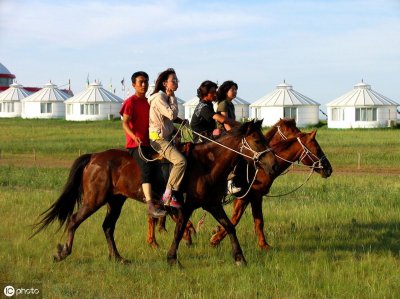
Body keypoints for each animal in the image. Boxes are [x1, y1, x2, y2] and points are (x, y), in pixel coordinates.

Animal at [32, 120, 278, 266]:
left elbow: (229, 227)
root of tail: (93, 157)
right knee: (74, 220)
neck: (207, 163)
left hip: (115, 201)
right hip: (95, 199)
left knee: (108, 227)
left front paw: (240, 258)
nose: (273, 165)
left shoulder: (211, 204)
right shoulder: (185, 207)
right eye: (258, 140)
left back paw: (118, 258)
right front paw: (172, 259)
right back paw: (63, 252)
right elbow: (179, 232)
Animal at [208, 119, 332, 251]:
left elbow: (246, 220)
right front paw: (215, 239)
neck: (260, 169)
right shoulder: (251, 196)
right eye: (317, 149)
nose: (329, 169)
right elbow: (242, 219)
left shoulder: (248, 197)